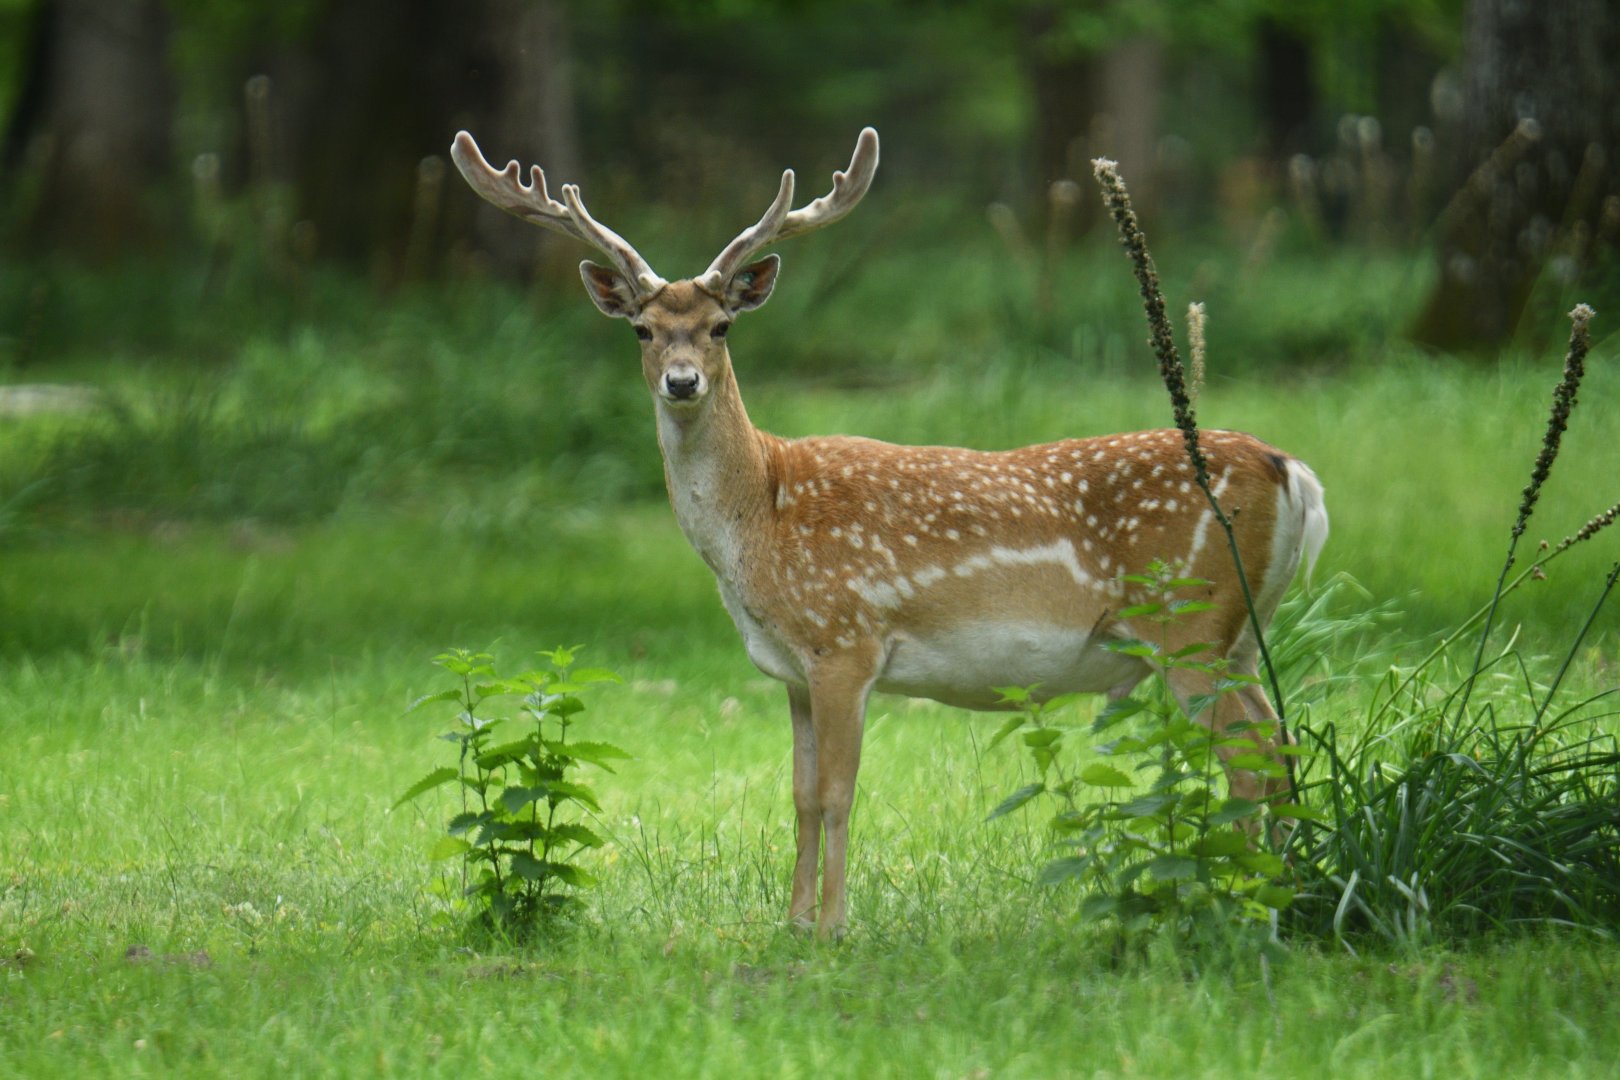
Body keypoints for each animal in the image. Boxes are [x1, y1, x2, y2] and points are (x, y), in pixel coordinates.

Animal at [449, 126, 1329, 938]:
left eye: (722, 324)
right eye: (641, 329)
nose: (682, 381)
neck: (759, 522)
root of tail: (1293, 472)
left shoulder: (847, 638)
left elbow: (839, 794)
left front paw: (836, 927)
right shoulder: (793, 668)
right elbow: (800, 795)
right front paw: (793, 923)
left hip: (1188, 622)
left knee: (1250, 761)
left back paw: (1245, 905)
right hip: (1236, 634)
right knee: (1280, 746)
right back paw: (1284, 893)